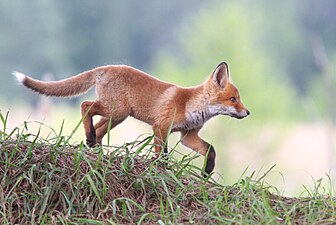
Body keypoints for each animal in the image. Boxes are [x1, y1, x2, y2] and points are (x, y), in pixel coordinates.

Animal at [13, 62, 249, 178]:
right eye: (233, 99)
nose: (248, 113)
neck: (190, 105)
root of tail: (106, 67)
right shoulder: (160, 127)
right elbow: (162, 155)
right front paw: (162, 170)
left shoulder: (187, 136)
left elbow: (211, 150)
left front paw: (207, 171)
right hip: (116, 109)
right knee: (85, 106)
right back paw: (90, 139)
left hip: (116, 116)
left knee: (97, 129)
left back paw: (95, 148)